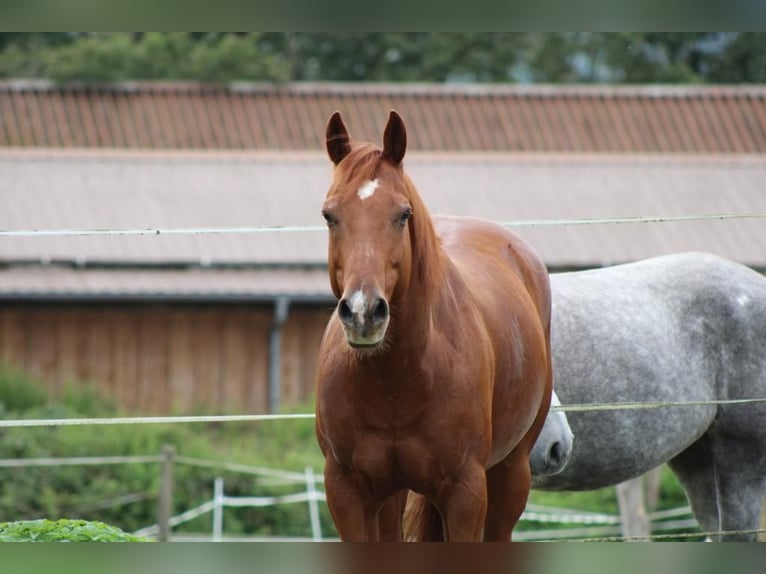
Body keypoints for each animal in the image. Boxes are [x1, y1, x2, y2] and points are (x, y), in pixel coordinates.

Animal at [314, 110, 553, 542]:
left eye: (403, 214)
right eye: (329, 215)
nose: (363, 312)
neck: (400, 380)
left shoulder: (465, 494)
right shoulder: (348, 493)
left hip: (511, 474)